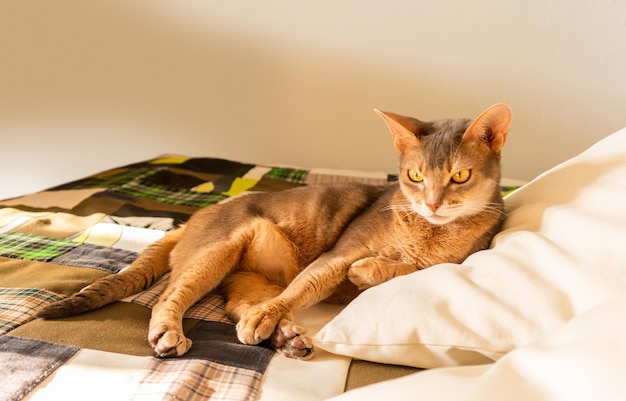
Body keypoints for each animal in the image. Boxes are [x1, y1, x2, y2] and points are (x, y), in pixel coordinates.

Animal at [36, 103, 510, 360]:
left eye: (460, 176)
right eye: (414, 176)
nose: (432, 203)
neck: (425, 230)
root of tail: (197, 215)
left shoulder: (456, 259)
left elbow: (415, 269)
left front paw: (370, 271)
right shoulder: (339, 254)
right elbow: (308, 284)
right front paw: (360, 271)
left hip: (248, 276)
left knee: (237, 306)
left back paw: (281, 333)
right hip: (220, 249)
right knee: (170, 295)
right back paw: (179, 331)